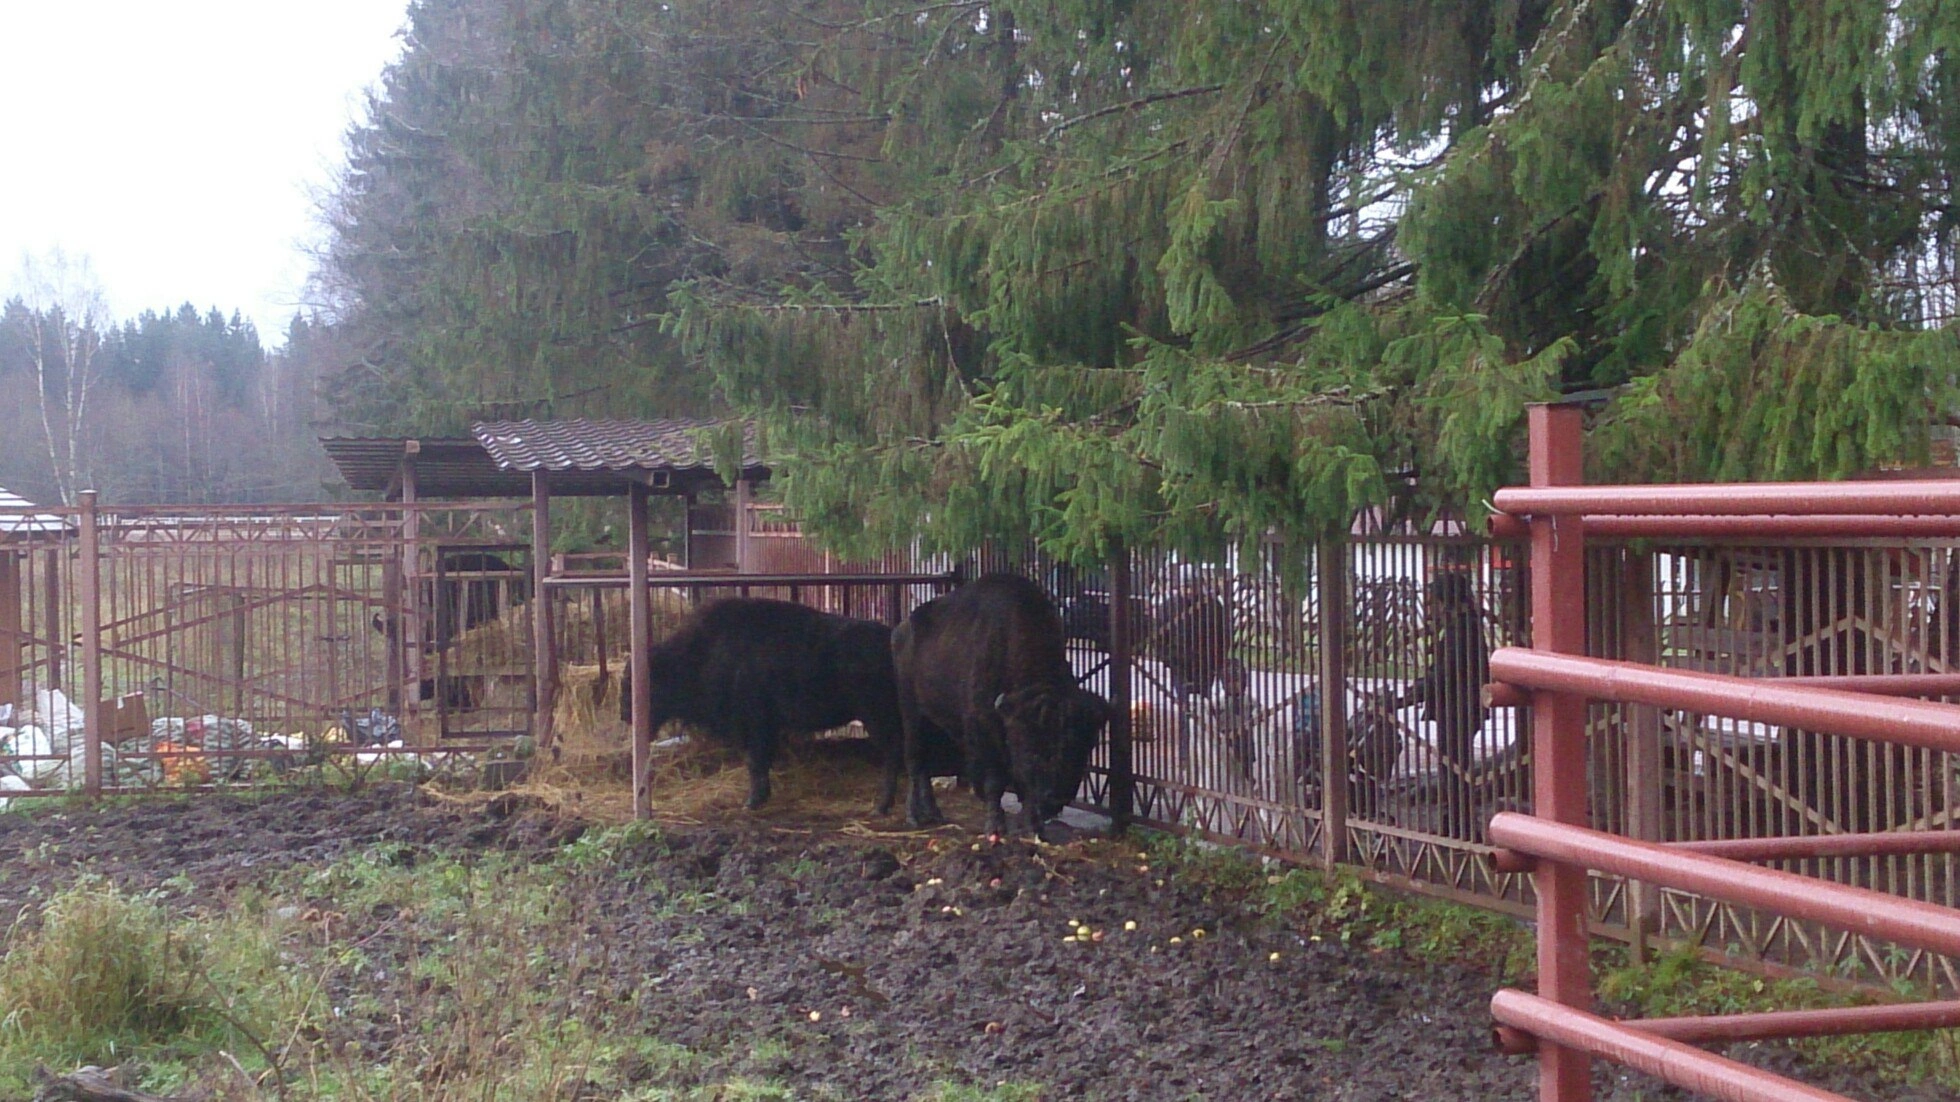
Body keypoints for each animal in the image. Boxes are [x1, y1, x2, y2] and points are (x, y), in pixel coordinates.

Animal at [611, 596, 925, 811]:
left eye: (633, 685)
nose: (626, 715)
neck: (700, 653)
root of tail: (890, 640)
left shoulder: (752, 724)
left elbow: (755, 760)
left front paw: (752, 801)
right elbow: (761, 760)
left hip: (877, 718)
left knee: (893, 753)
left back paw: (883, 805)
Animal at [897, 576, 1113, 831]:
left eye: (1082, 749)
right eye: (1033, 749)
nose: (1054, 800)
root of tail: (902, 629)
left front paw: (1031, 824)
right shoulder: (985, 733)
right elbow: (995, 781)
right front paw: (995, 824)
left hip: (933, 719)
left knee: (925, 765)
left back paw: (934, 812)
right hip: (911, 713)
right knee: (914, 759)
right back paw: (913, 815)